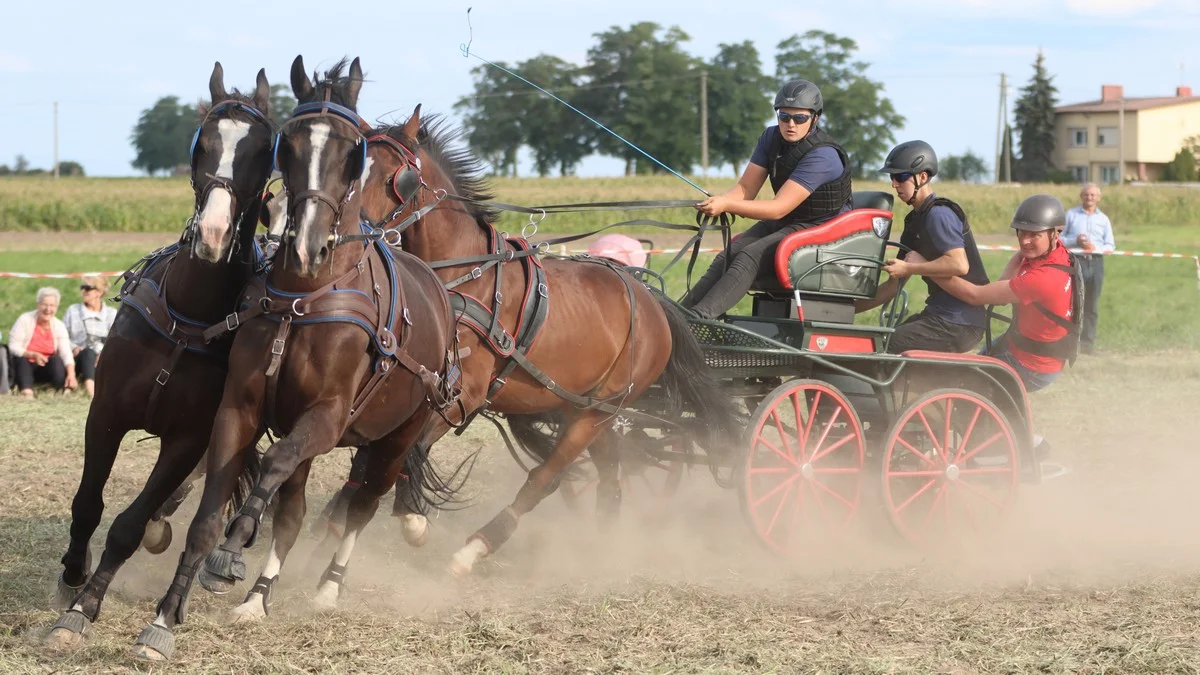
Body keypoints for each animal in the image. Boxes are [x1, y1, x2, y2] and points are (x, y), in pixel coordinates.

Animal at [43, 63, 274, 648]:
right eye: (204, 142)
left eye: (263, 151)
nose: (213, 233)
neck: (186, 317)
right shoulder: (105, 413)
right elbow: (88, 504)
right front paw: (72, 577)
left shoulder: (188, 437)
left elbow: (127, 524)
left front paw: (84, 608)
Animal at [130, 56, 458, 658]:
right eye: (290, 145)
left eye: (352, 149)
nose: (306, 243)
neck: (301, 299)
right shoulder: (240, 410)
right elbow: (215, 511)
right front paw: (165, 616)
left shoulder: (326, 419)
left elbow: (275, 470)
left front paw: (234, 545)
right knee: (293, 509)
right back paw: (259, 596)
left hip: (398, 435)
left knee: (363, 503)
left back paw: (329, 585)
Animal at [324, 106, 739, 571]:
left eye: (399, 178)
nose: (351, 232)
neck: (466, 277)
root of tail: (651, 300)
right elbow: (373, 456)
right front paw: (337, 517)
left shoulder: (462, 393)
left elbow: (410, 450)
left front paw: (411, 519)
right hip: (588, 408)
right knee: (610, 474)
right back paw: (605, 549)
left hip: (598, 412)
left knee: (545, 477)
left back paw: (476, 548)